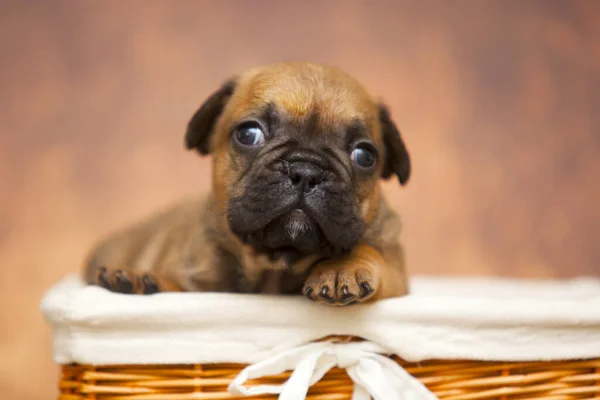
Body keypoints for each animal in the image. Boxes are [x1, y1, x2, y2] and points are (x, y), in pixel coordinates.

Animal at [85, 61, 412, 306]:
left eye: (364, 155)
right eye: (248, 134)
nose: (306, 170)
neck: (275, 267)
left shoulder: (396, 267)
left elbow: (371, 251)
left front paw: (341, 268)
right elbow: (179, 287)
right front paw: (141, 280)